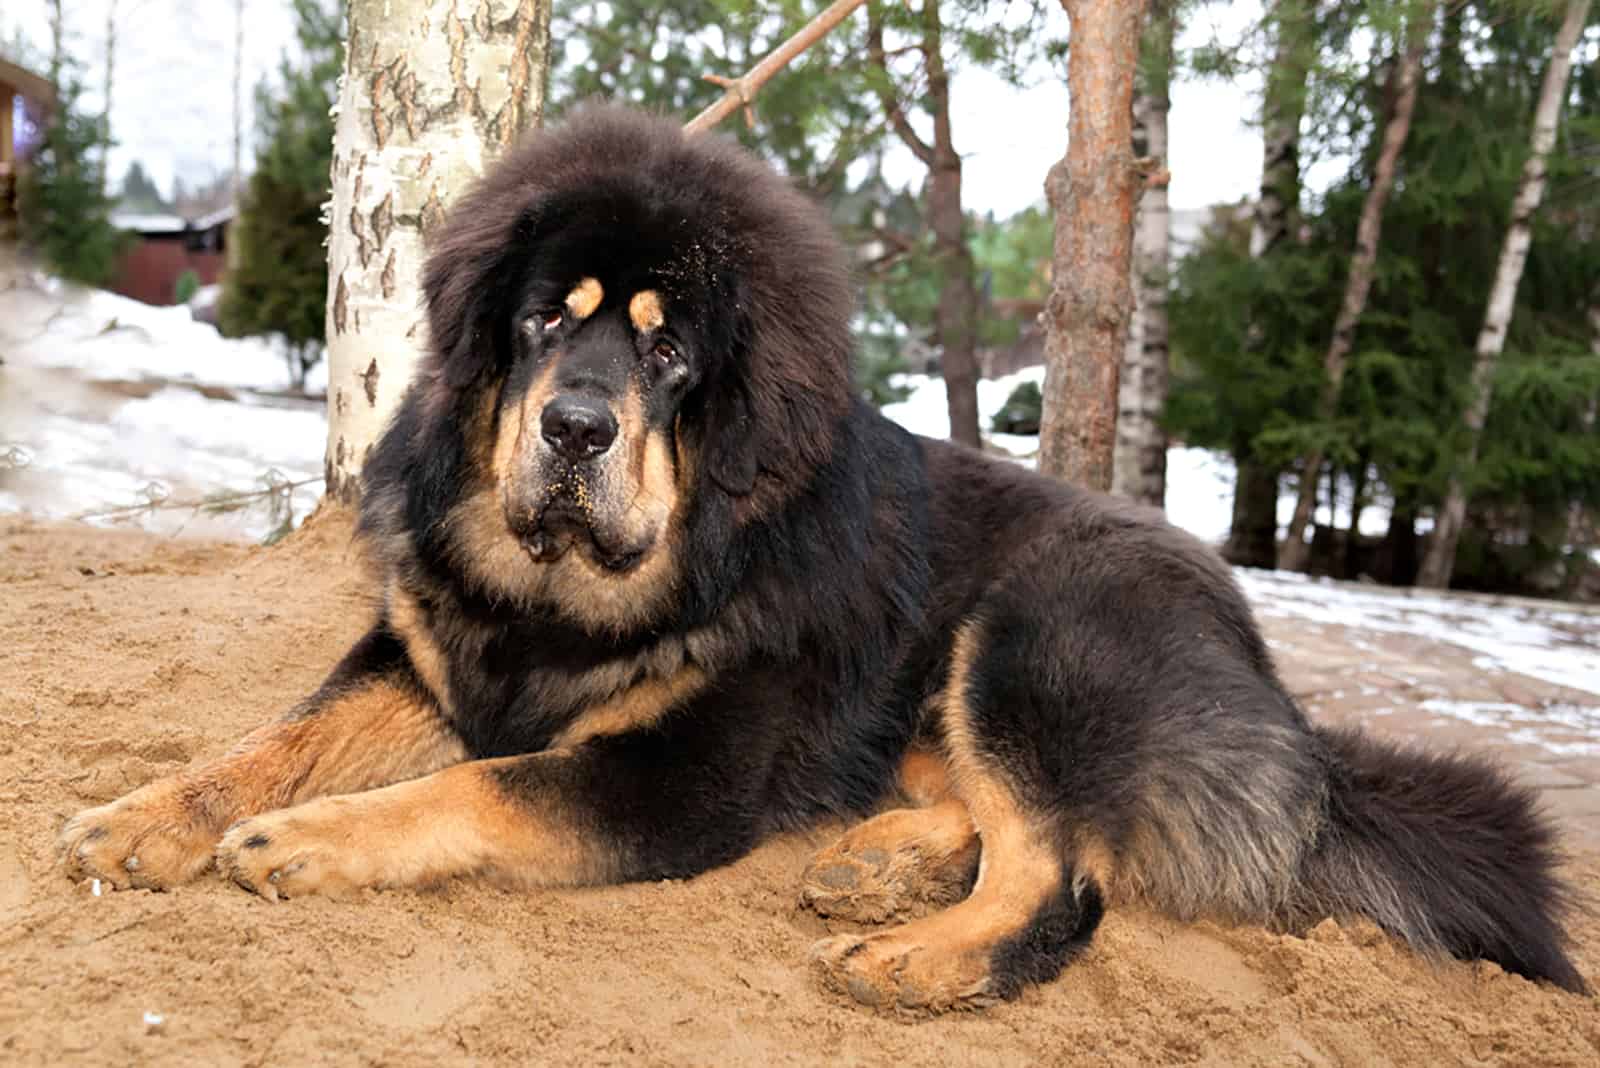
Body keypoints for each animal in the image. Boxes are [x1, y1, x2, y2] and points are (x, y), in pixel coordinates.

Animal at [56, 106, 1580, 1010]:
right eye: (548, 319)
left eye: (668, 353)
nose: (574, 425)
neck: (573, 595)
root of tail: (1275, 695)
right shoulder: (425, 655)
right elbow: (276, 738)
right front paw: (148, 816)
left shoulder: (675, 776)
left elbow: (480, 786)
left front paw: (305, 841)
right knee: (984, 813)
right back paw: (878, 866)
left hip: (1033, 632)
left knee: (1062, 874)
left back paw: (911, 953)